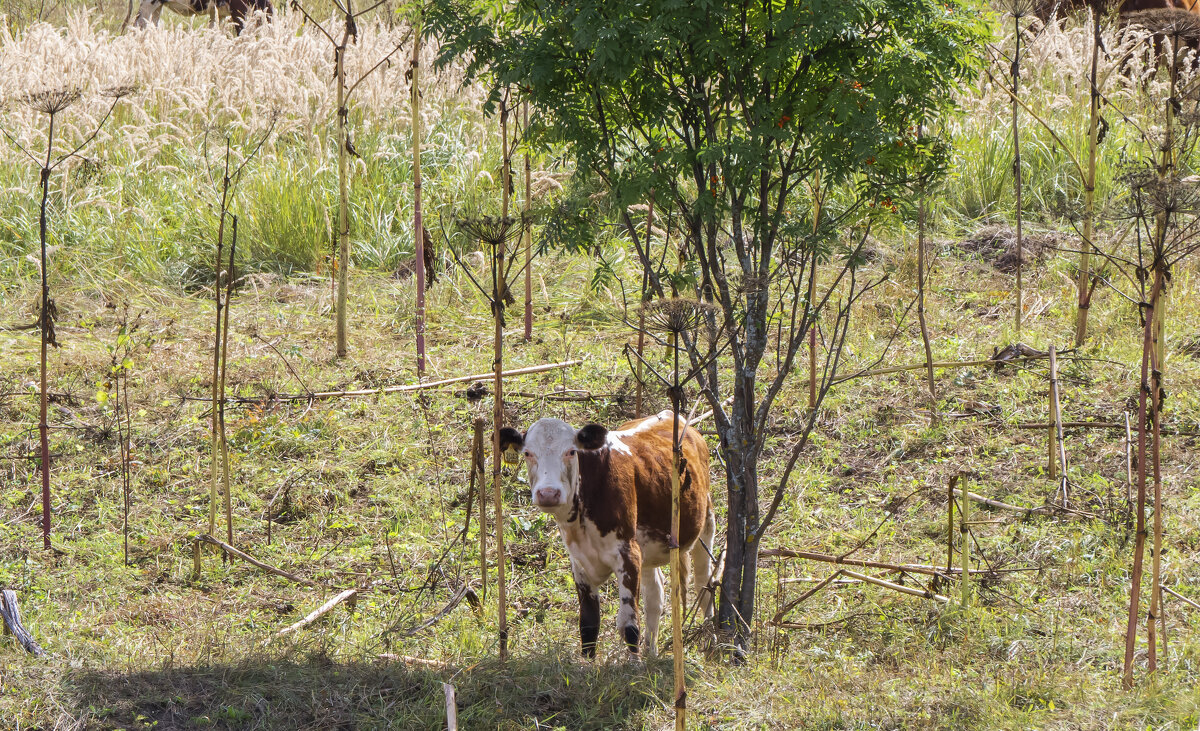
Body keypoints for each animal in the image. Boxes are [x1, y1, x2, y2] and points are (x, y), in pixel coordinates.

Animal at [496, 410, 710, 657]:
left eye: (571, 451)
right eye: (528, 453)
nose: (548, 493)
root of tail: (670, 415)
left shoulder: (627, 554)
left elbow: (629, 625)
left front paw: (633, 663)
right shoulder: (580, 563)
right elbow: (588, 625)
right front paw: (588, 662)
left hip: (706, 518)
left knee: (704, 581)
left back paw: (710, 639)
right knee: (655, 594)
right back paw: (651, 652)